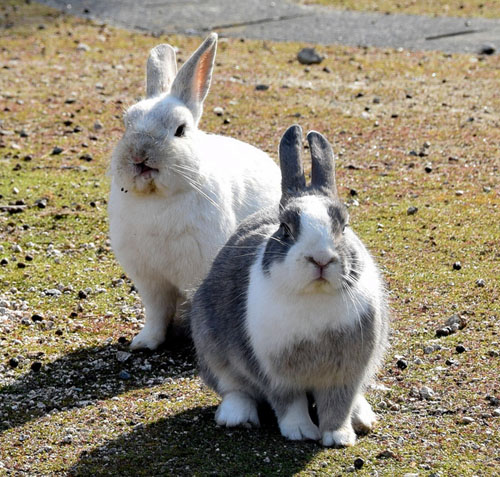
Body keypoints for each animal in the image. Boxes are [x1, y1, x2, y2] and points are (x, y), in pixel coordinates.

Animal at [108, 31, 282, 348]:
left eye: (180, 130)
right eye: (127, 124)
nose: (139, 155)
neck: (158, 197)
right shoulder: (150, 281)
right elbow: (156, 313)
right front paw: (144, 343)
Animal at [189, 123, 388, 446]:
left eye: (344, 226)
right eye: (285, 229)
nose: (321, 259)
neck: (313, 296)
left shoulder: (346, 374)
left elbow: (338, 405)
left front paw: (338, 437)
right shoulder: (276, 374)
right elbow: (289, 404)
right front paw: (301, 433)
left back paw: (363, 417)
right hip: (209, 343)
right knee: (235, 388)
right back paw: (237, 416)